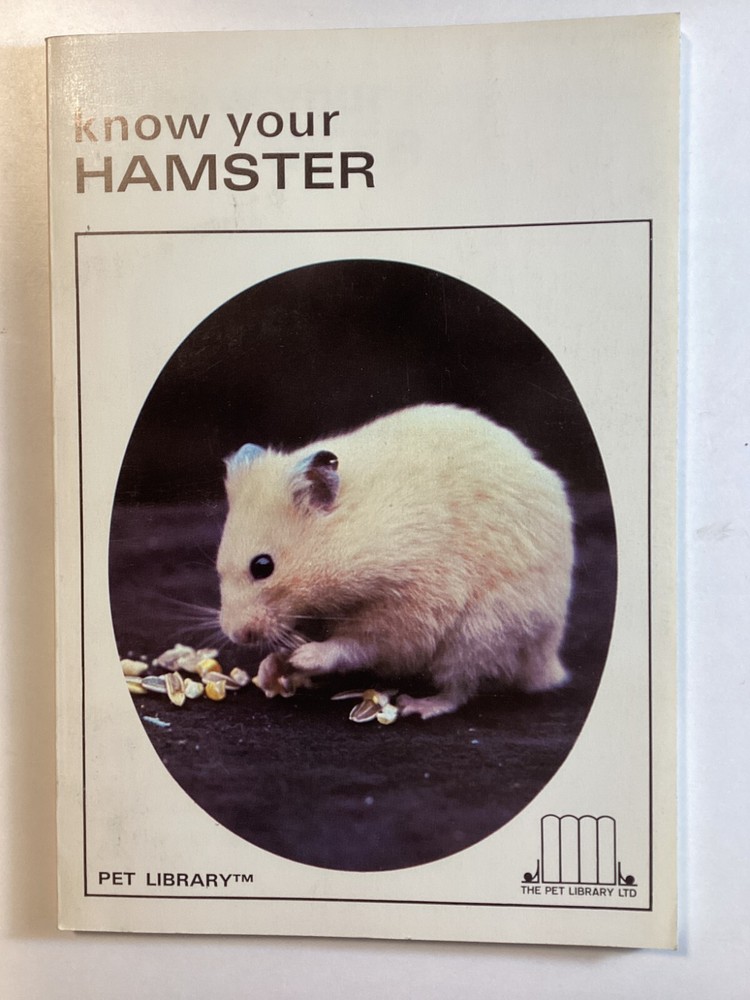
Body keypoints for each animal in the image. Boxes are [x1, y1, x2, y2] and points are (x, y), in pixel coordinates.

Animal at [217, 404, 574, 719]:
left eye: (262, 566)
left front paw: (306, 657)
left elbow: (357, 644)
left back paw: (416, 705)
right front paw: (271, 669)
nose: (236, 635)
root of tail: (550, 663)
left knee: (459, 687)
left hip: (481, 632)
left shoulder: (407, 612)